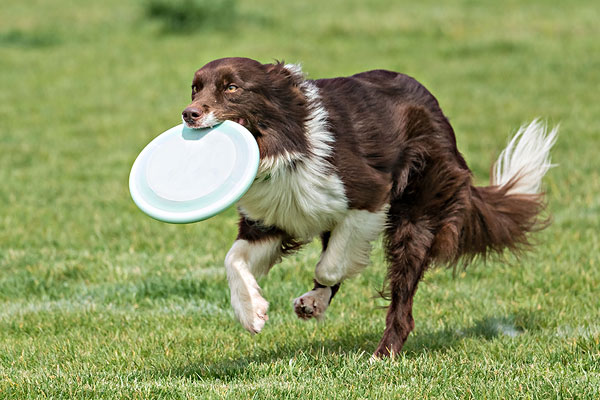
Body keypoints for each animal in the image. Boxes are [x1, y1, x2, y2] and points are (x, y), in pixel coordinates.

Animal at [180, 56, 556, 356]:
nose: (189, 114)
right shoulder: (271, 219)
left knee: (402, 302)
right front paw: (252, 311)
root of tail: (437, 112)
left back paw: (382, 354)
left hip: (416, 213)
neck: (284, 142)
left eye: (232, 88)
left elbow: (329, 267)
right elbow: (233, 260)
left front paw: (313, 292)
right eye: (195, 89)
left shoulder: (369, 197)